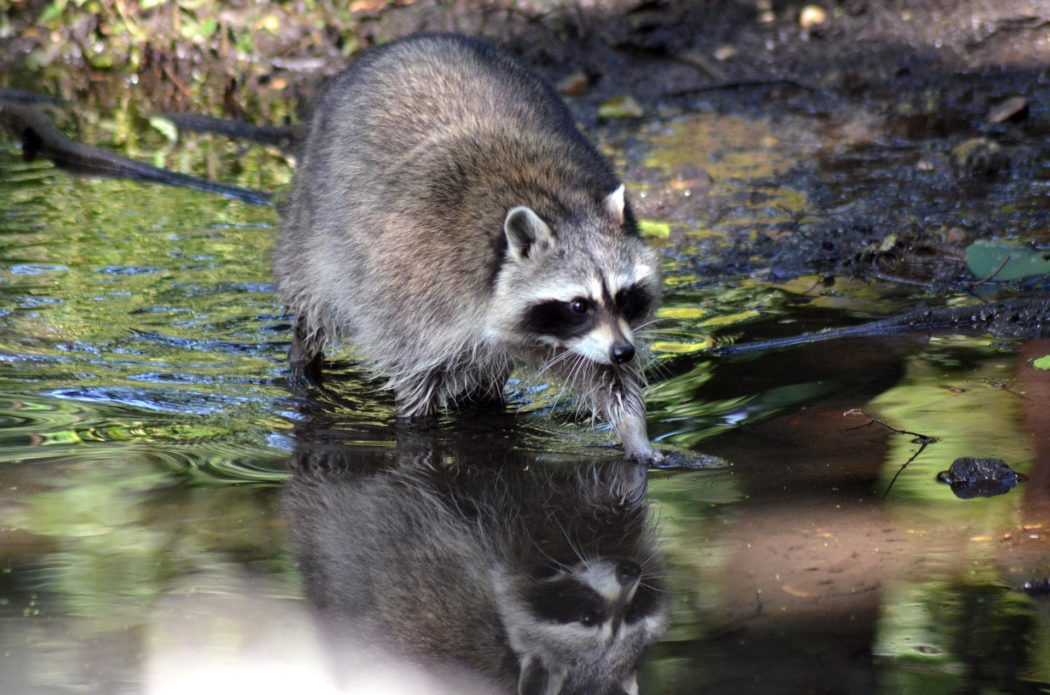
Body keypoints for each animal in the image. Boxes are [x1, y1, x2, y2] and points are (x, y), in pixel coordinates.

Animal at [276, 34, 662, 460]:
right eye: (579, 305)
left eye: (624, 296)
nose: (624, 352)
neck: (557, 205)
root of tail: (411, 41)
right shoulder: (418, 299)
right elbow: (415, 382)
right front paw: (418, 434)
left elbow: (610, 381)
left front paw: (636, 437)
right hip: (313, 227)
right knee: (314, 304)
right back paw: (304, 360)